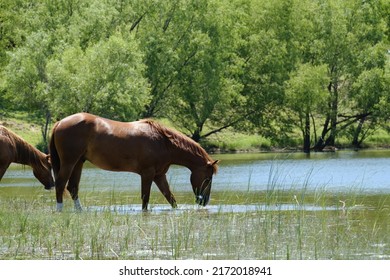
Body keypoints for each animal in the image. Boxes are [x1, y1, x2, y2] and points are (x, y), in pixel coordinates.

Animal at [49, 112, 219, 211]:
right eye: (208, 178)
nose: (204, 201)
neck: (163, 142)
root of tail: (59, 123)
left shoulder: (159, 176)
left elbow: (170, 198)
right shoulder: (147, 174)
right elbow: (145, 200)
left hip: (79, 162)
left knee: (72, 188)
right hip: (69, 162)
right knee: (60, 184)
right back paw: (59, 210)